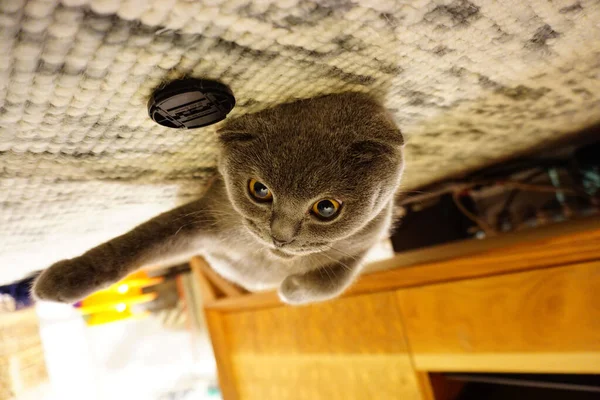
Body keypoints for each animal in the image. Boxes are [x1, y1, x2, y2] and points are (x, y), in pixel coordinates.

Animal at [34, 92, 408, 304]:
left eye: (326, 208)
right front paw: (63, 280)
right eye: (260, 190)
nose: (280, 236)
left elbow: (336, 279)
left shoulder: (371, 234)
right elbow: (134, 244)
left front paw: (291, 289)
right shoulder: (203, 217)